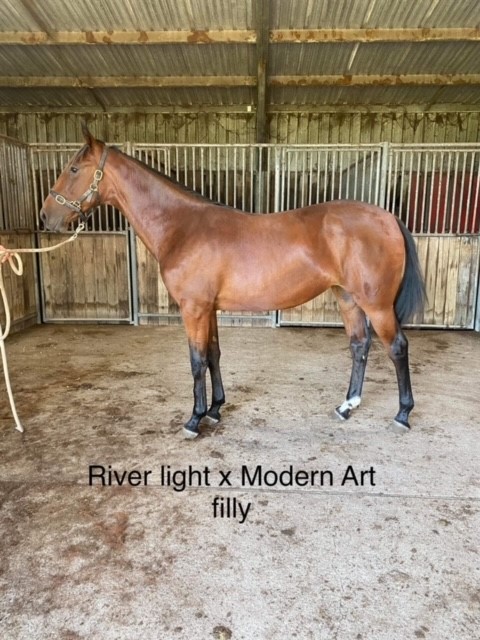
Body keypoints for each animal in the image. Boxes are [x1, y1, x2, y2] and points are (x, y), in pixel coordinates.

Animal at [40, 125, 426, 439]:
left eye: (73, 169)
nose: (46, 217)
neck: (182, 226)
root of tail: (388, 218)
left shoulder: (194, 309)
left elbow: (196, 361)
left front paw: (194, 419)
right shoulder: (208, 309)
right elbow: (213, 355)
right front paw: (214, 410)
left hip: (376, 304)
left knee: (397, 347)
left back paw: (402, 414)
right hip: (348, 298)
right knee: (359, 346)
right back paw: (346, 407)